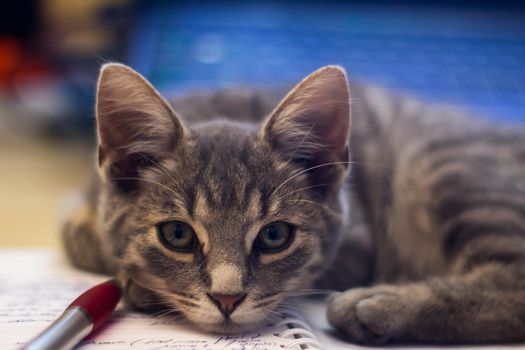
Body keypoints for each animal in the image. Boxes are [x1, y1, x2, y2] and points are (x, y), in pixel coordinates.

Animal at [63, 63, 524, 344]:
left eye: (275, 236)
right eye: (177, 234)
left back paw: (378, 305)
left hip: (443, 165)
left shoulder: (358, 243)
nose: (227, 299)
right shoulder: (76, 218)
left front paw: (140, 286)